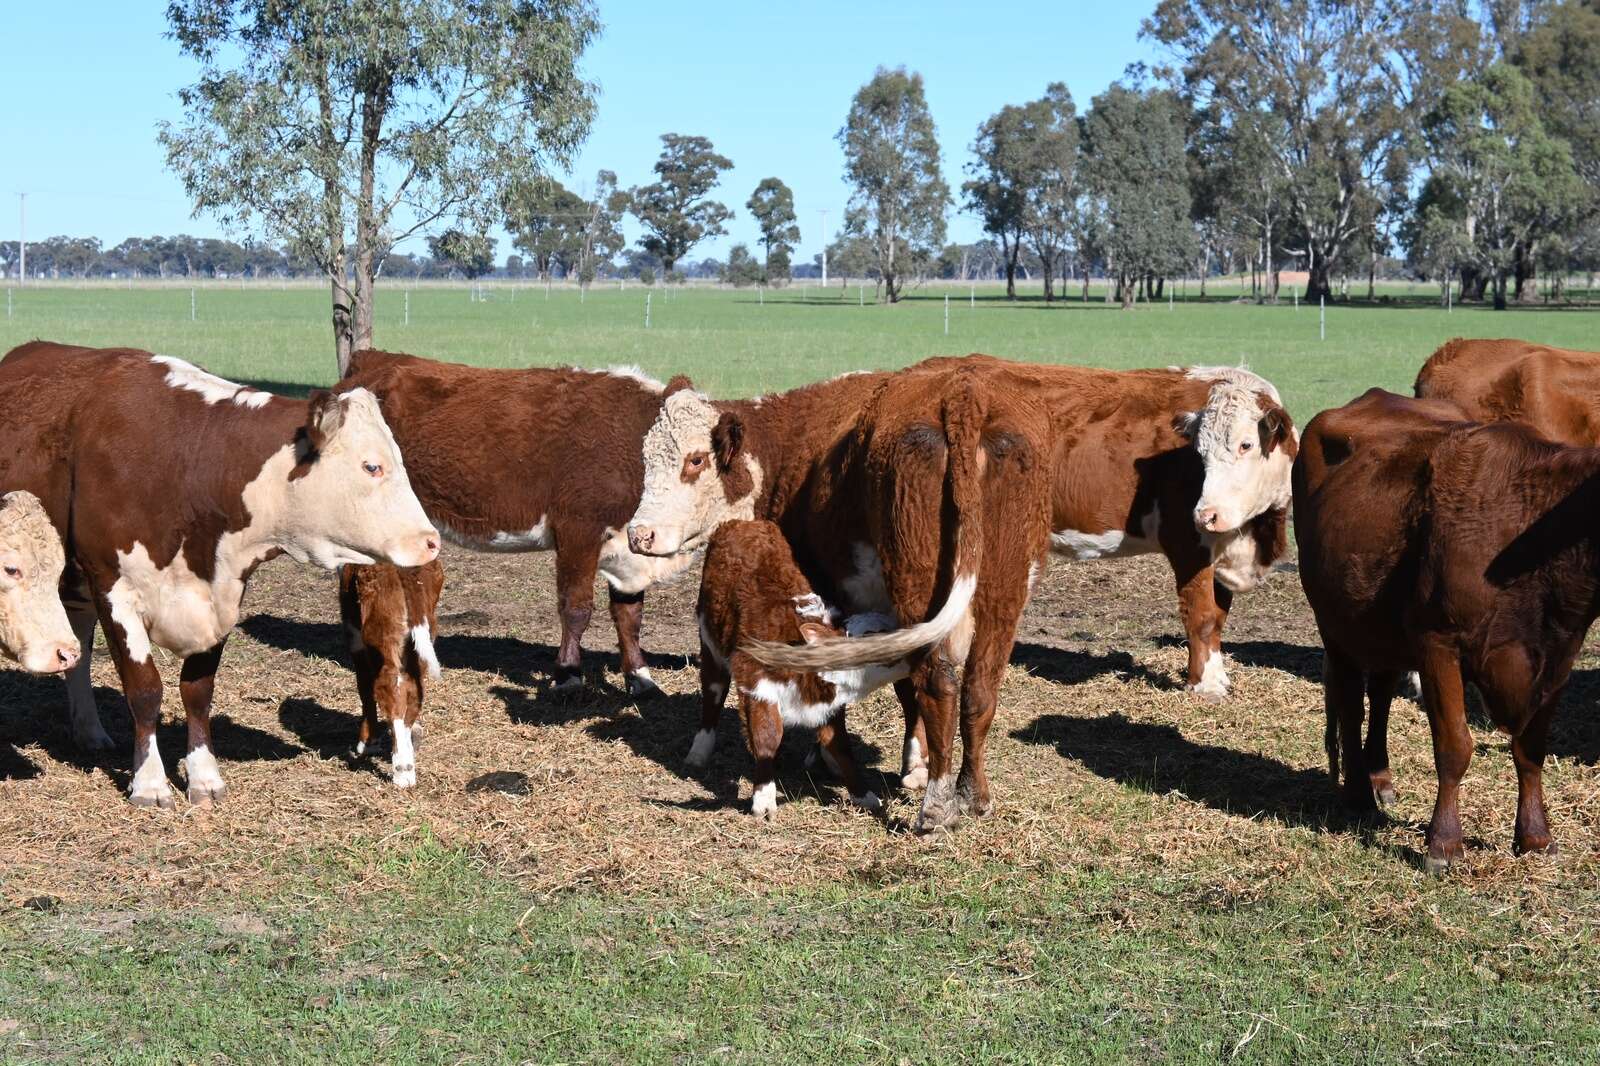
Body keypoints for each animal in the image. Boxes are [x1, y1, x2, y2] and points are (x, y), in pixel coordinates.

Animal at [338, 351, 698, 696]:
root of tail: (372, 359)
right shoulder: (578, 530)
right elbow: (576, 607)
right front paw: (568, 676)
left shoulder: (627, 548)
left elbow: (629, 616)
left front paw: (640, 677)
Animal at [339, 559, 444, 788]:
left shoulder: (355, 638)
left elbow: (364, 689)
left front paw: (367, 744)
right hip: (419, 642)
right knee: (412, 693)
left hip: (382, 638)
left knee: (390, 691)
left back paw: (403, 771)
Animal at [692, 519, 911, 817]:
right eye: (874, 635)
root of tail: (741, 523)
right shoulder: (755, 682)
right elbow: (767, 737)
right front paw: (764, 800)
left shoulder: (829, 702)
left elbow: (839, 745)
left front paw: (864, 795)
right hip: (710, 642)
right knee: (713, 692)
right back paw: (698, 752)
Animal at [912, 355, 1295, 700]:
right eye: (1198, 454)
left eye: (1246, 444)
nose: (1205, 514)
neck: (1254, 532)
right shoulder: (1188, 544)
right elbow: (1201, 616)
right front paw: (1205, 686)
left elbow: (1218, 616)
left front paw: (1218, 677)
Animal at [1295, 387, 1599, 872]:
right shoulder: (1438, 642)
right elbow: (1455, 746)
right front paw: (1444, 844)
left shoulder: (1559, 655)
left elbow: (1531, 748)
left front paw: (1536, 836)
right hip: (1335, 625)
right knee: (1350, 703)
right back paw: (1360, 793)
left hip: (1380, 627)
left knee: (1380, 696)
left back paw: (1381, 779)